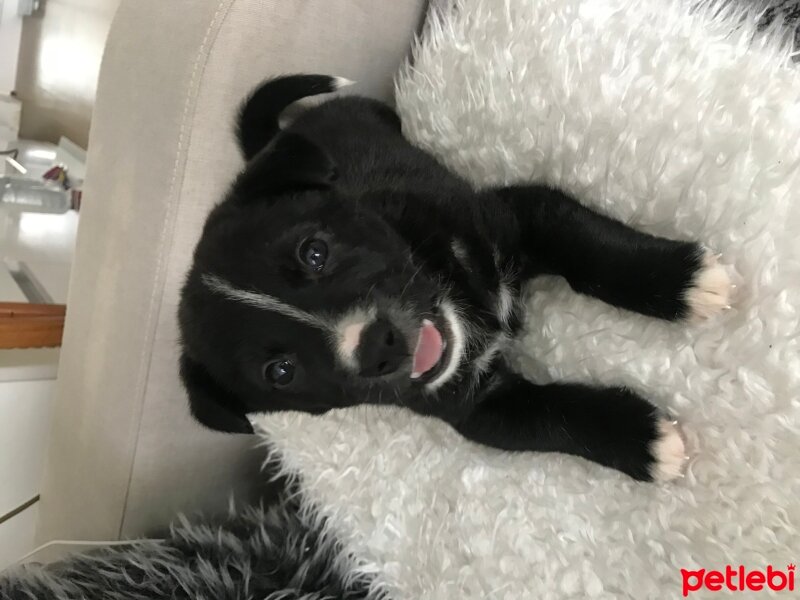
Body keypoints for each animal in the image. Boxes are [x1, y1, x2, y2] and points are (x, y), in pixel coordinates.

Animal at [180, 74, 732, 482]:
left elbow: (590, 248)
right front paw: (644, 441)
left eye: (315, 252)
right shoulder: (478, 406)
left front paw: (686, 281)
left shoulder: (516, 216)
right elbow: (555, 416)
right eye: (280, 372)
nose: (378, 346)